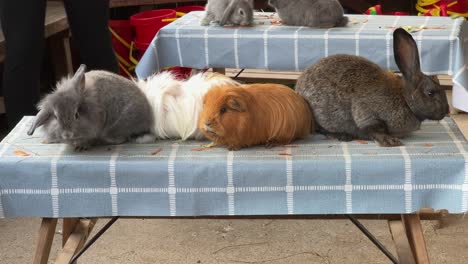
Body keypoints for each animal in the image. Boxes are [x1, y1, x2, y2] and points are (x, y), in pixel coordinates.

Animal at [296, 28, 450, 147]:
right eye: (430, 92)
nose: (446, 111)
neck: (405, 99)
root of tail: (298, 89)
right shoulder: (368, 113)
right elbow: (373, 129)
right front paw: (390, 141)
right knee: (320, 129)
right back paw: (342, 136)